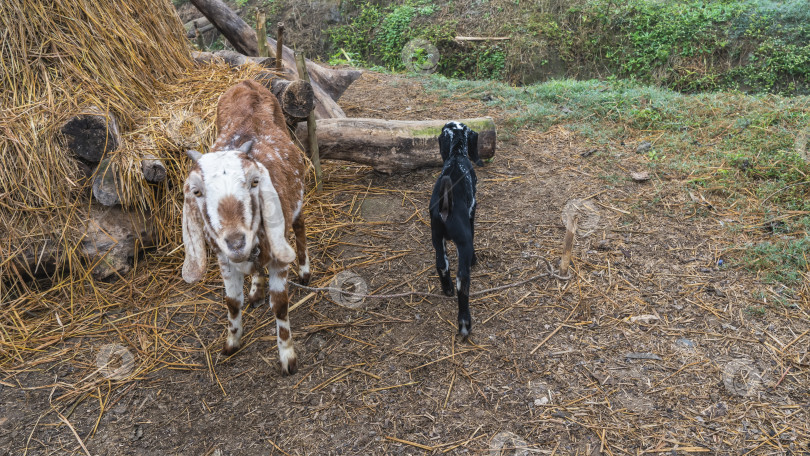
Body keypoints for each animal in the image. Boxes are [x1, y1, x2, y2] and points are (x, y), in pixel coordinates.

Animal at [181, 80, 310, 375]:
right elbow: (232, 302)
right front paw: (232, 341)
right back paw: (256, 289)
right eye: (196, 191)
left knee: (300, 226)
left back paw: (305, 271)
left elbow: (280, 306)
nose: (236, 242)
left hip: (296, 199)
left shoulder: (277, 257)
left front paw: (288, 357)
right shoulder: (224, 260)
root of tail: (246, 82)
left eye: (254, 181)